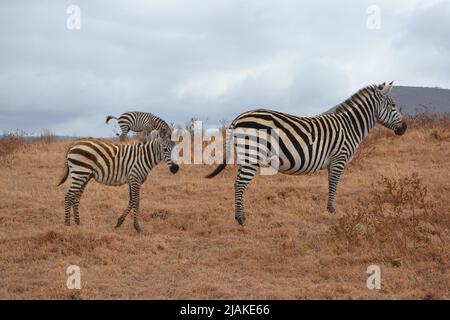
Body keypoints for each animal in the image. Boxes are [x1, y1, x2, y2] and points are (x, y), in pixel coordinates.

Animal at [207, 81, 408, 226]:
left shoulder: (333, 162)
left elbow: (330, 184)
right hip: (252, 154)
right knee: (240, 184)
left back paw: (238, 216)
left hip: (246, 155)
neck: (350, 126)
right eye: (393, 105)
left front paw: (329, 208)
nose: (405, 128)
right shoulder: (339, 158)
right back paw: (241, 219)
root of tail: (239, 117)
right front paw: (332, 211)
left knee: (236, 183)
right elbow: (334, 184)